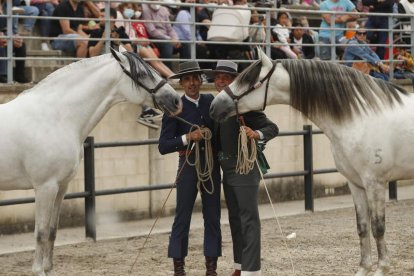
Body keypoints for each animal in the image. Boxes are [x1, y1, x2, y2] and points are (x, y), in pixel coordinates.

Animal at [0, 48, 181, 274]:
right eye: (140, 74)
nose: (176, 100)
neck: (54, 117)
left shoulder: (61, 187)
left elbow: (52, 230)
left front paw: (49, 269)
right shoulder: (45, 187)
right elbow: (41, 232)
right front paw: (38, 271)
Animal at [210, 48, 414, 274]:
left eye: (247, 80)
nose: (214, 106)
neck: (361, 117)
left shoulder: (375, 183)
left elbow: (378, 227)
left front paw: (382, 268)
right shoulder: (356, 184)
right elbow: (362, 227)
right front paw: (364, 268)